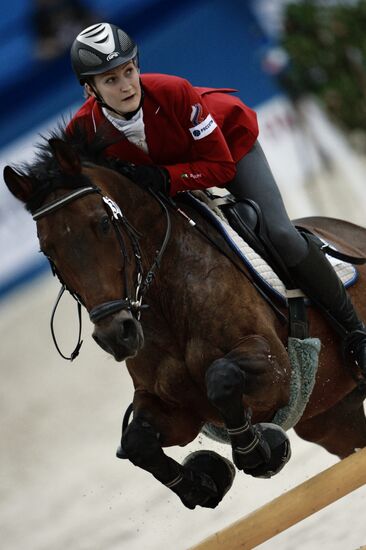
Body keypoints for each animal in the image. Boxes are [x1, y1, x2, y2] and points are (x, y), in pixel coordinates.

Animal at [4, 130, 366, 512]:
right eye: (47, 250)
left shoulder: (275, 369)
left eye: (102, 223)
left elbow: (221, 377)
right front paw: (202, 483)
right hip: (333, 418)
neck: (167, 301)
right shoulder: (173, 408)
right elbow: (136, 442)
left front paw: (260, 452)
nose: (116, 335)